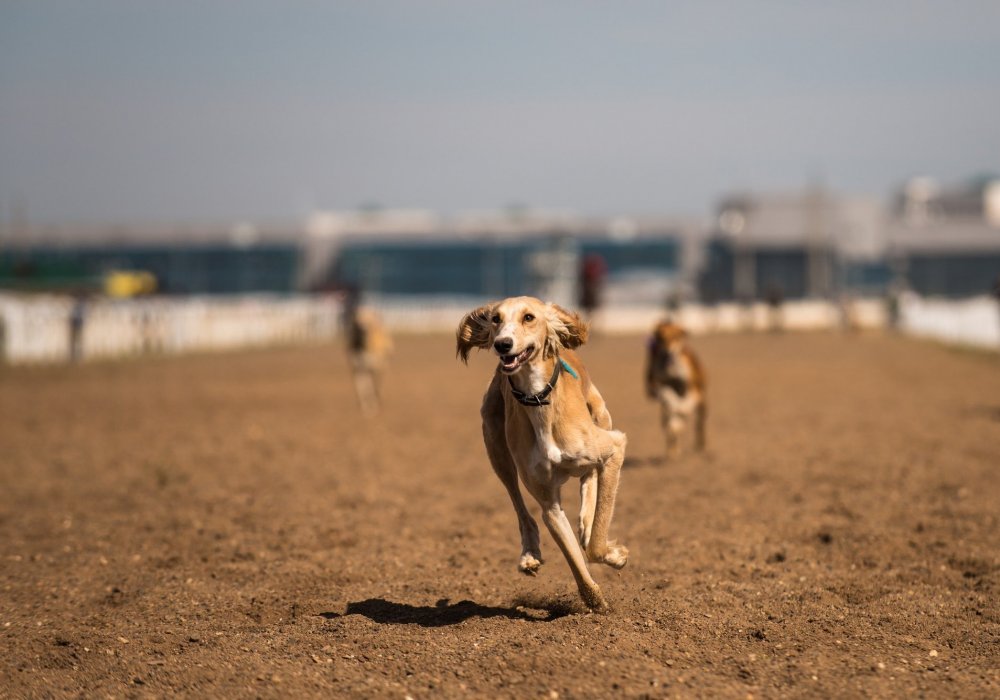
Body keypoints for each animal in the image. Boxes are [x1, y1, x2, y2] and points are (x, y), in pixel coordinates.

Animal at [458, 296, 628, 612]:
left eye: (529, 317)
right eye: (496, 318)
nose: (502, 344)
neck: (539, 400)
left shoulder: (615, 447)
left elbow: (596, 543)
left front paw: (614, 555)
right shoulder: (549, 504)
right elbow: (574, 558)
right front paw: (595, 600)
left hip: (601, 416)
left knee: (590, 476)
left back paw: (586, 520)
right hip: (496, 449)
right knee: (519, 505)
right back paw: (530, 553)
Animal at [644, 318, 708, 456]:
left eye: (675, 336)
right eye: (661, 338)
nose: (667, 353)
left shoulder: (692, 388)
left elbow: (686, 404)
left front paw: (682, 410)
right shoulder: (656, 385)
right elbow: (666, 394)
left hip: (703, 402)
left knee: (699, 424)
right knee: (670, 427)